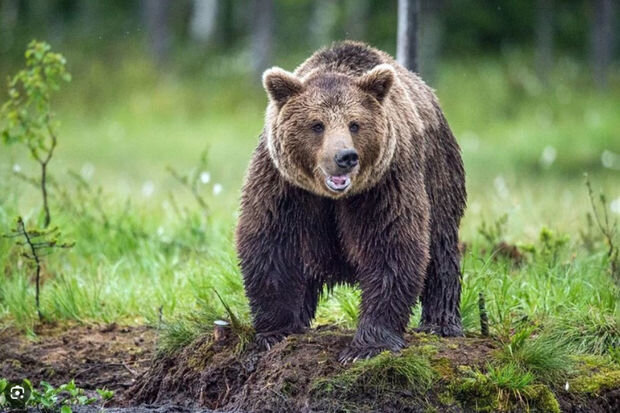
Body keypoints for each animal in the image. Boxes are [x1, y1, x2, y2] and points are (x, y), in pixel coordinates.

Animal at [236, 39, 464, 360]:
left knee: (441, 246)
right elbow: (272, 243)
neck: (330, 196)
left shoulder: (384, 185)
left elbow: (391, 245)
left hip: (439, 172)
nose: (345, 157)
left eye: (355, 124)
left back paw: (441, 323)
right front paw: (276, 331)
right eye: (317, 125)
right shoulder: (284, 186)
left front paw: (368, 345)